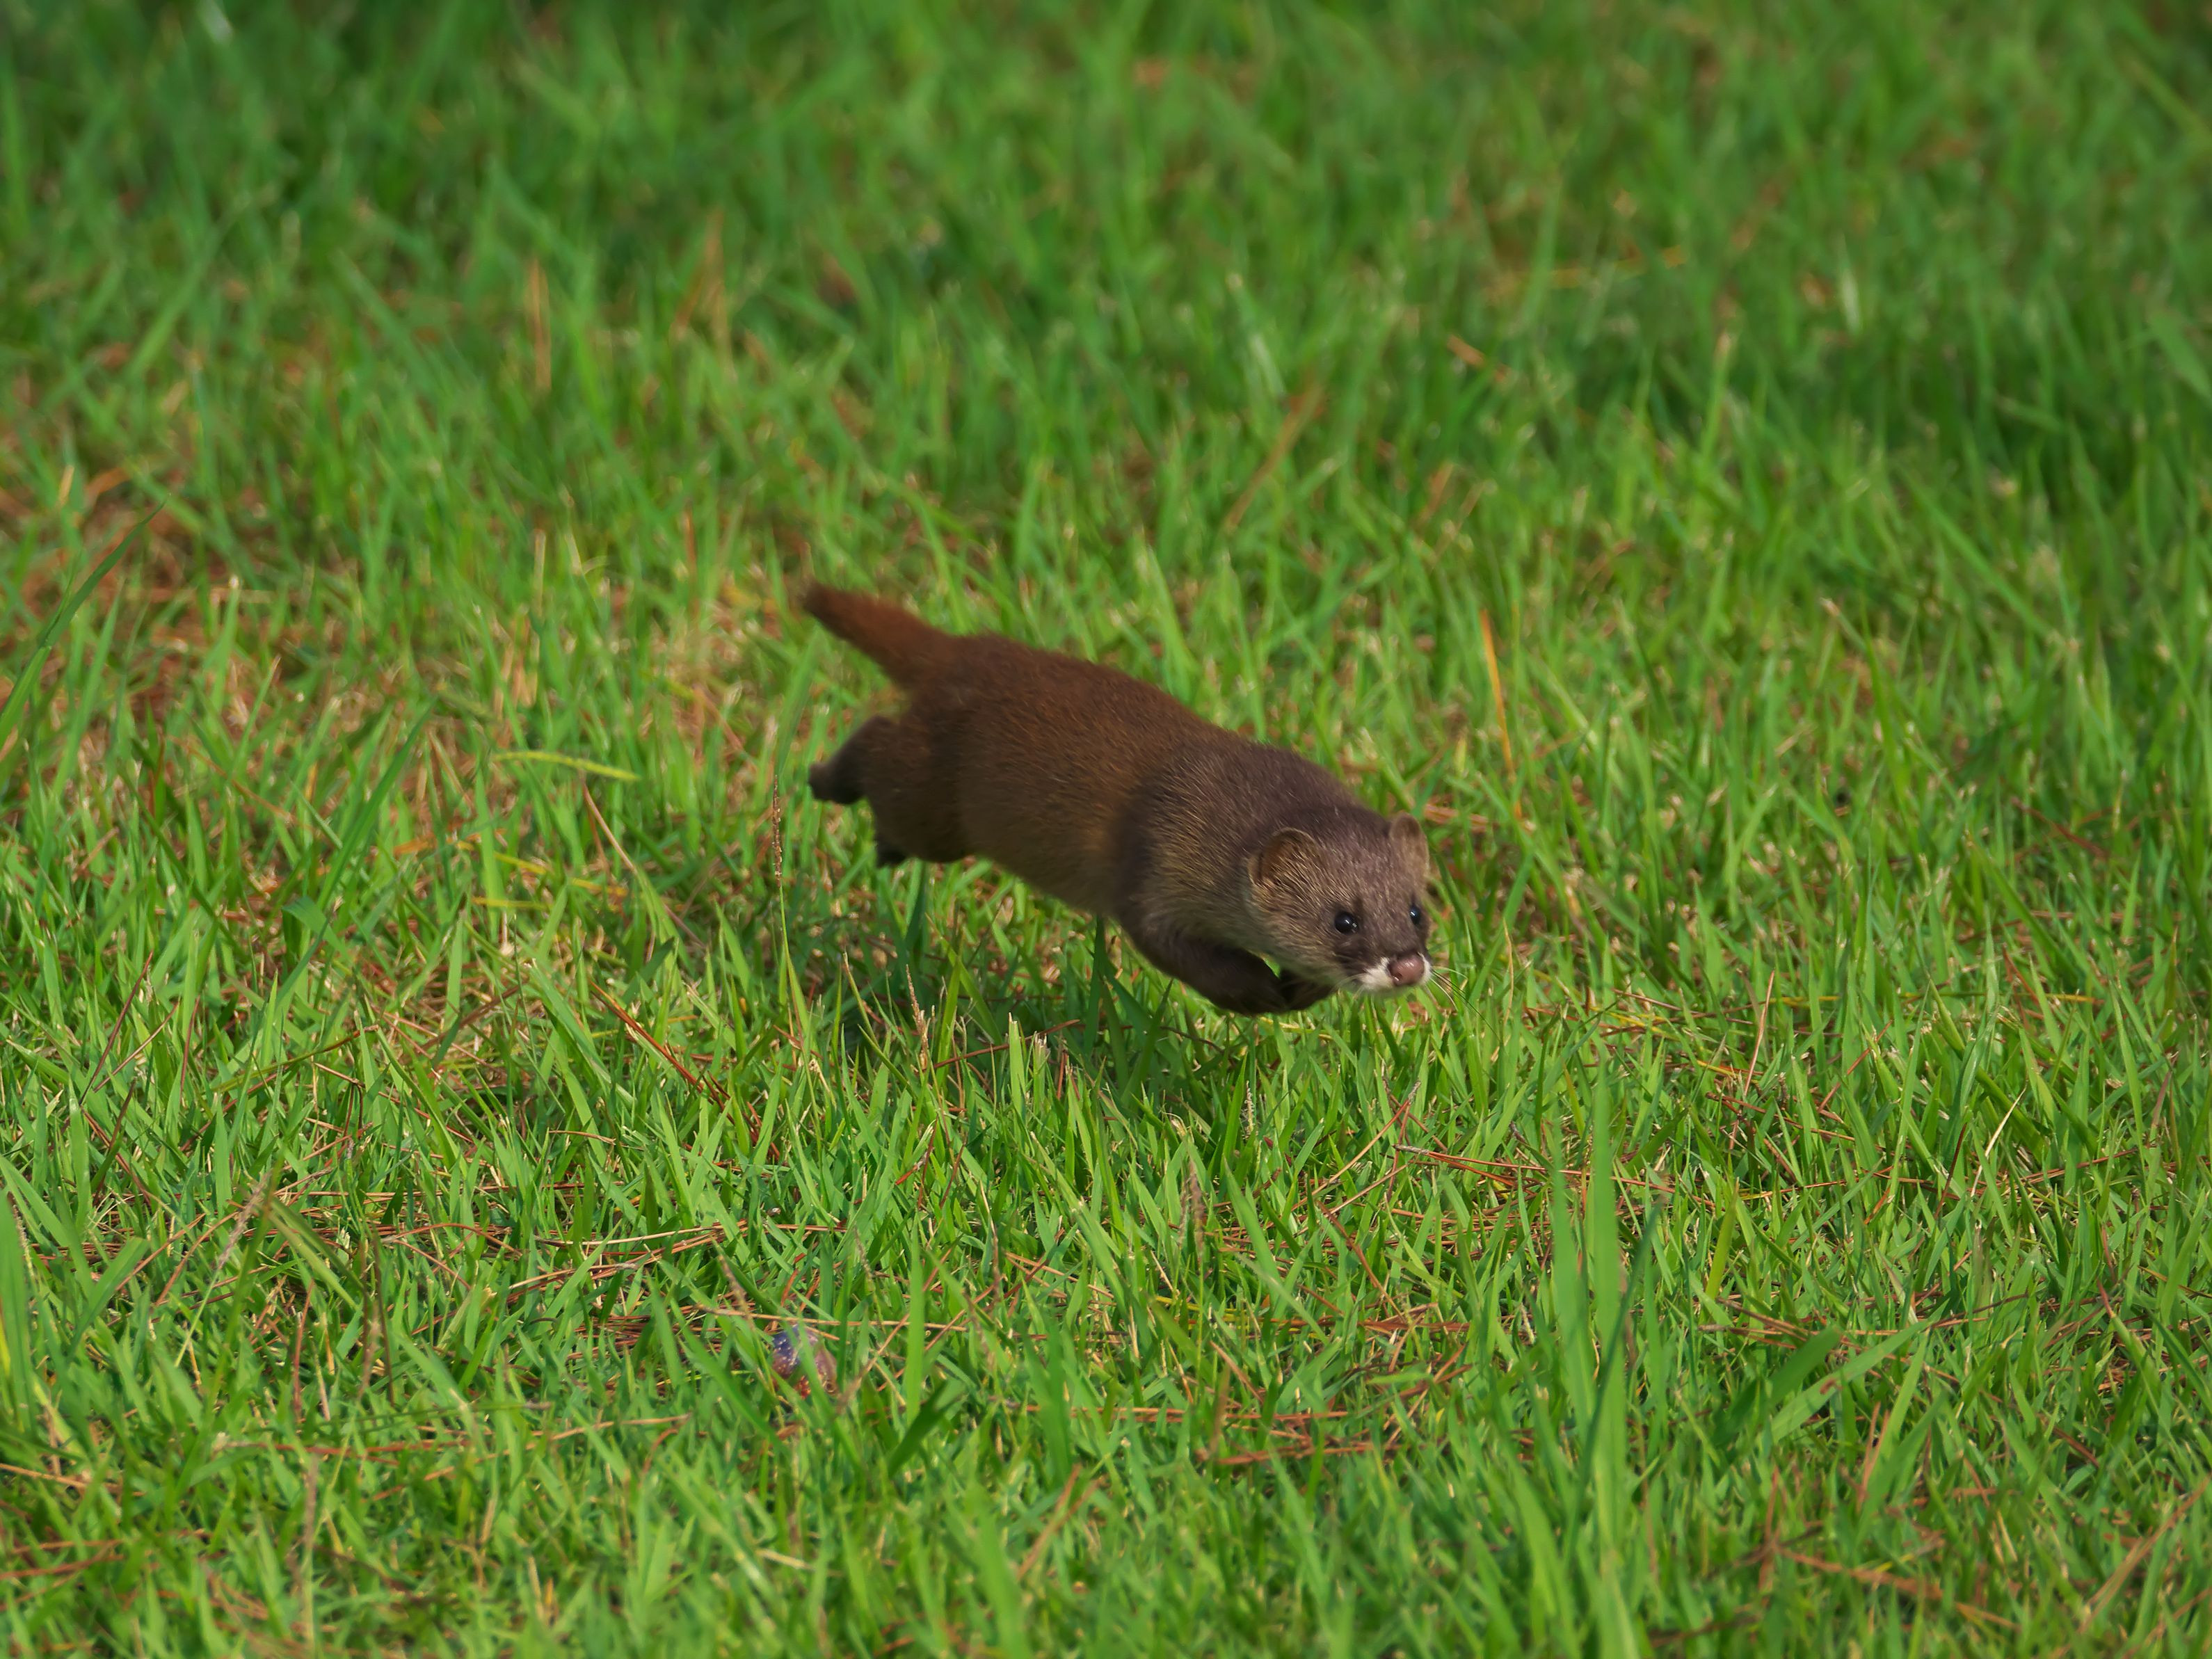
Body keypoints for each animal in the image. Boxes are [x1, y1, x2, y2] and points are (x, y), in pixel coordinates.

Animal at [800, 584, 1432, 1016]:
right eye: (1343, 919)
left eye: (1415, 910)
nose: (1405, 964)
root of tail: (970, 649)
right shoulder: (1152, 870)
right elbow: (1174, 946)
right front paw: (1258, 991)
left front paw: (1298, 988)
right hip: (935, 808)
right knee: (877, 741)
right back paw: (823, 777)